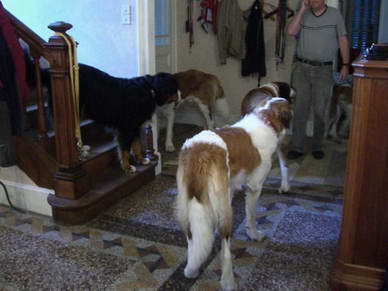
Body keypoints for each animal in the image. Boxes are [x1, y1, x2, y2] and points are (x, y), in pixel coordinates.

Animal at [175, 97, 292, 290]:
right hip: (224, 208)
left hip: (186, 202)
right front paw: (254, 234)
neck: (266, 117)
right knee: (225, 246)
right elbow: (251, 216)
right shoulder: (254, 187)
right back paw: (228, 281)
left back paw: (191, 269)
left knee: (191, 236)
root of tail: (201, 150)